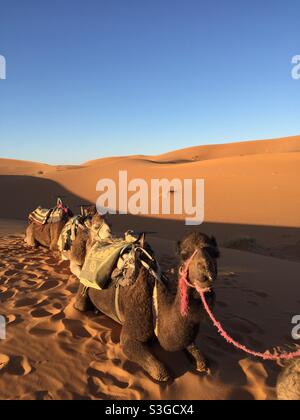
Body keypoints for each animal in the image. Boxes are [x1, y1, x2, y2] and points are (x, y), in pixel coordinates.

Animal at [72, 231, 218, 382]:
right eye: (184, 255)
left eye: (216, 253)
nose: (206, 272)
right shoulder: (130, 335)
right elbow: (162, 373)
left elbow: (200, 357)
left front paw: (200, 362)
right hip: (83, 287)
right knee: (81, 304)